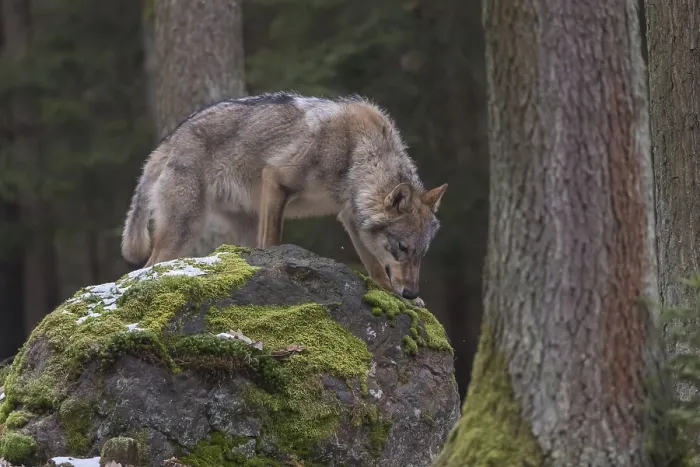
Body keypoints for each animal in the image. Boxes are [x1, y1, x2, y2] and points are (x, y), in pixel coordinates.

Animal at [121, 91, 447, 305]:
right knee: (149, 265)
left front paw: (392, 295)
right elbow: (273, 242)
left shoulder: (349, 215)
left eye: (422, 254)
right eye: (402, 248)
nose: (412, 293)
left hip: (241, 225)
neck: (356, 152)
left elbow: (375, 265)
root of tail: (168, 141)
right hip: (185, 229)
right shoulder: (276, 180)